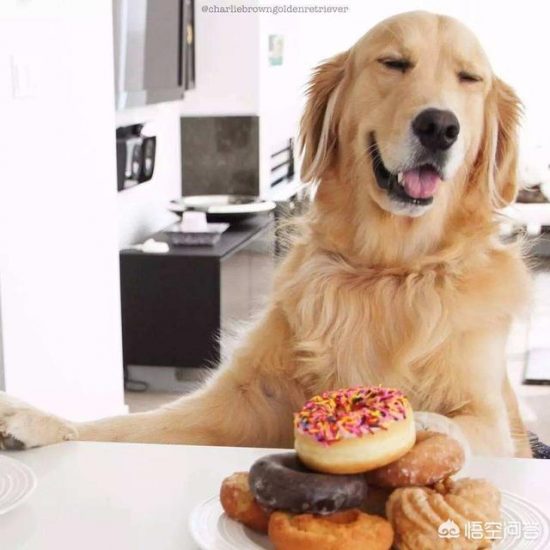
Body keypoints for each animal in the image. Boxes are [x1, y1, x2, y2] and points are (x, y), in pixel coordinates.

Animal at [0, 14, 536, 462]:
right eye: (393, 63)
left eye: (470, 78)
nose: (440, 126)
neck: (388, 270)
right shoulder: (239, 402)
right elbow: (119, 426)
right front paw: (40, 420)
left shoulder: (490, 418)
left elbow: (457, 425)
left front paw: (418, 428)